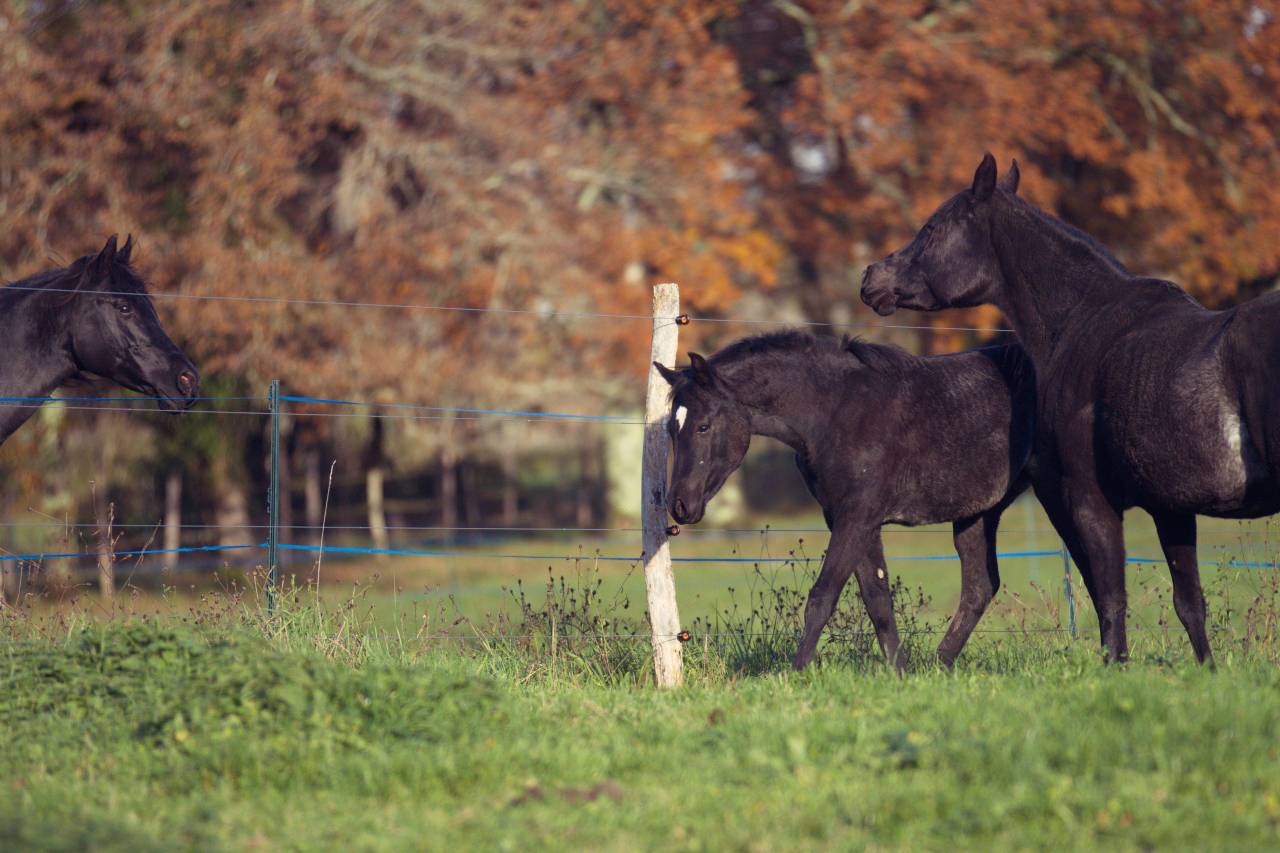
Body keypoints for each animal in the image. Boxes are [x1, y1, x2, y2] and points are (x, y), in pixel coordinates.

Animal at [656, 331, 1036, 670]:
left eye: (703, 426)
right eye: (672, 429)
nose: (680, 505)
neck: (838, 412)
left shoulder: (858, 516)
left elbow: (823, 596)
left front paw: (794, 674)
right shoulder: (851, 518)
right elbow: (877, 599)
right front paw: (899, 674)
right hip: (978, 514)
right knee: (979, 587)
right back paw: (938, 667)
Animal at [860, 153, 1279, 665]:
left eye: (933, 228)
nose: (871, 278)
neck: (1081, 322)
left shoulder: (1088, 497)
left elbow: (1110, 599)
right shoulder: (1170, 508)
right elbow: (1188, 603)